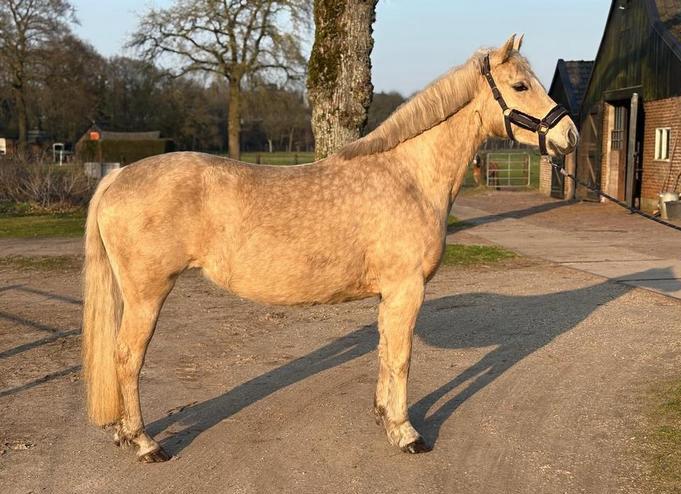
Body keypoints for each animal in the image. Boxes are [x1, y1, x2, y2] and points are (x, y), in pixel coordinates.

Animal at [82, 34, 578, 463]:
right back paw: (146, 444)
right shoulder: (408, 289)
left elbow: (385, 352)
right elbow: (402, 359)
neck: (409, 177)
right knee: (126, 359)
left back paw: (126, 434)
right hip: (147, 295)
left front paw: (385, 419)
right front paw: (407, 434)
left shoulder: (390, 295)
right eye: (520, 85)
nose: (569, 137)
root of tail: (116, 177)